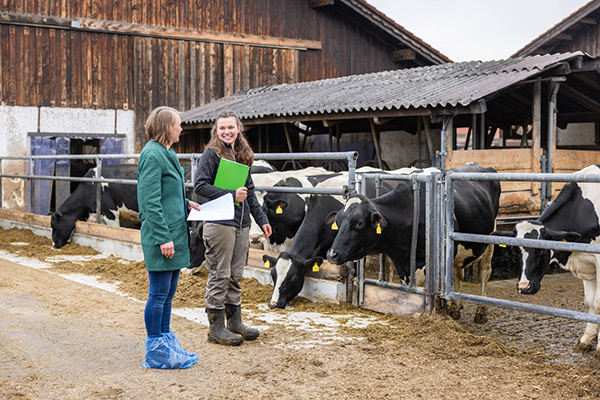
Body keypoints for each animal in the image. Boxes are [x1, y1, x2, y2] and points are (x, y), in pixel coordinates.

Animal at [326, 162, 500, 322]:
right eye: (338, 221)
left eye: (359, 223)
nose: (332, 254)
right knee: (458, 274)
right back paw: (456, 308)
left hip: (489, 241)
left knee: (484, 273)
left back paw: (481, 313)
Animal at [492, 164, 600, 354]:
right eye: (515, 250)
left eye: (542, 250)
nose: (524, 287)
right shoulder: (587, 263)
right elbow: (590, 303)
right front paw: (586, 340)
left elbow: (599, 303)